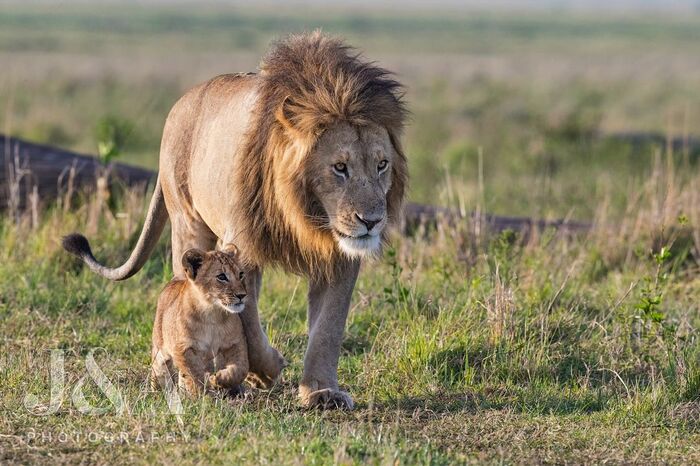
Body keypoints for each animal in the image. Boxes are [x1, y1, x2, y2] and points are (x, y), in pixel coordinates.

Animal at [65, 31, 408, 408]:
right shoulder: (243, 245)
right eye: (340, 167)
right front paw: (266, 371)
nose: (371, 221)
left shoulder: (338, 256)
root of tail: (180, 102)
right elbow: (248, 325)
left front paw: (321, 392)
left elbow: (327, 328)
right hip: (187, 219)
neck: (306, 215)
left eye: (382, 165)